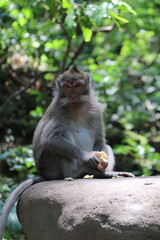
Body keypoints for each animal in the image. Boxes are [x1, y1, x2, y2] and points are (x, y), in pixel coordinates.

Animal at [0, 66, 134, 240]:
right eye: (68, 87)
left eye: (77, 85)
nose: (73, 96)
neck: (76, 107)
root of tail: (46, 175)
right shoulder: (60, 111)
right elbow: (50, 139)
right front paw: (87, 157)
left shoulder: (95, 109)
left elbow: (100, 141)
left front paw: (104, 168)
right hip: (50, 163)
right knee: (63, 137)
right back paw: (77, 172)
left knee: (106, 146)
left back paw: (103, 174)